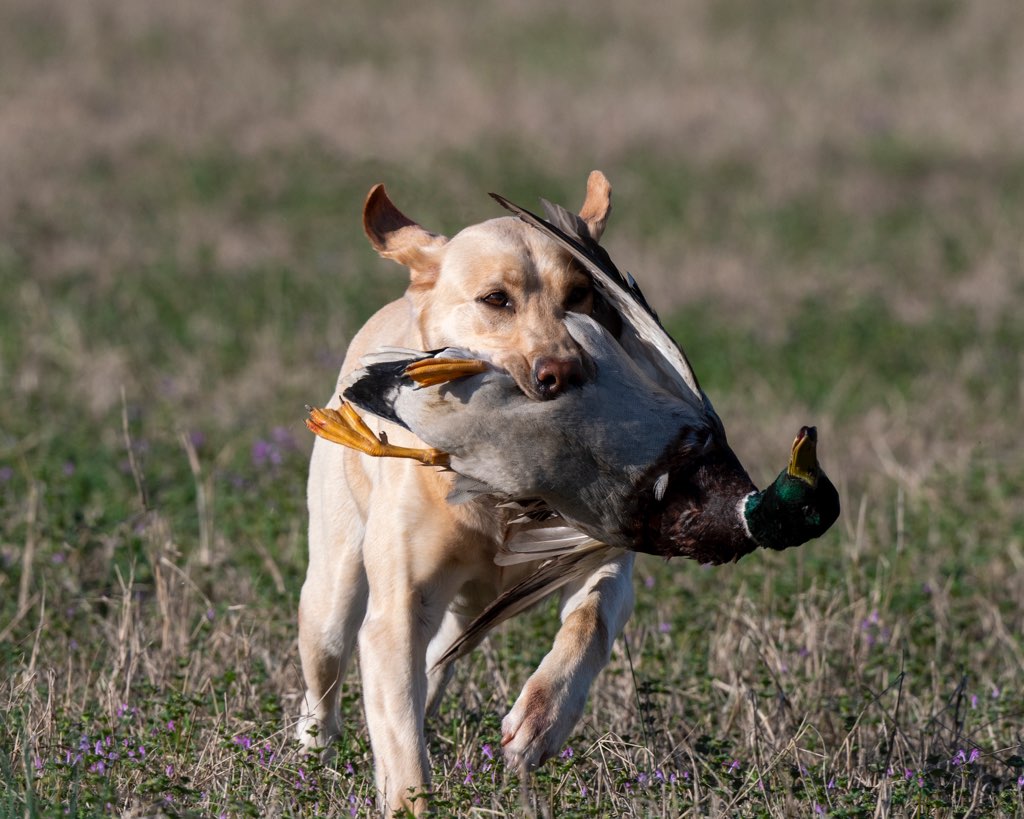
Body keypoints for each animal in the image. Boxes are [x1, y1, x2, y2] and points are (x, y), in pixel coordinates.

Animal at [292, 170, 634, 810]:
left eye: (580, 294)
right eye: (496, 299)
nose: (565, 373)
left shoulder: (602, 561)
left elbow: (589, 623)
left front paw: (539, 721)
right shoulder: (394, 615)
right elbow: (403, 751)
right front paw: (407, 796)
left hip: (470, 610)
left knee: (436, 663)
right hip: (330, 594)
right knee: (325, 682)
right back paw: (309, 753)